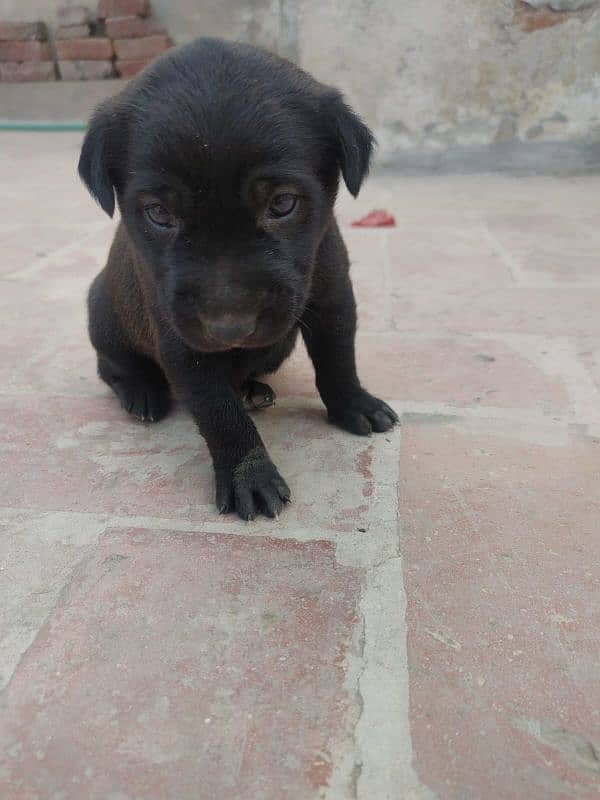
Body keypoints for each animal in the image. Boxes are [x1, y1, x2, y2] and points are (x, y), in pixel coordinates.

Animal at [79, 37, 398, 520]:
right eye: (158, 213)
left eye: (282, 203)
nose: (229, 328)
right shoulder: (181, 343)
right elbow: (220, 414)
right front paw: (251, 475)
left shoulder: (333, 299)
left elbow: (339, 359)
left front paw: (353, 403)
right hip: (104, 311)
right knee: (111, 365)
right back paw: (142, 392)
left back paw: (252, 388)